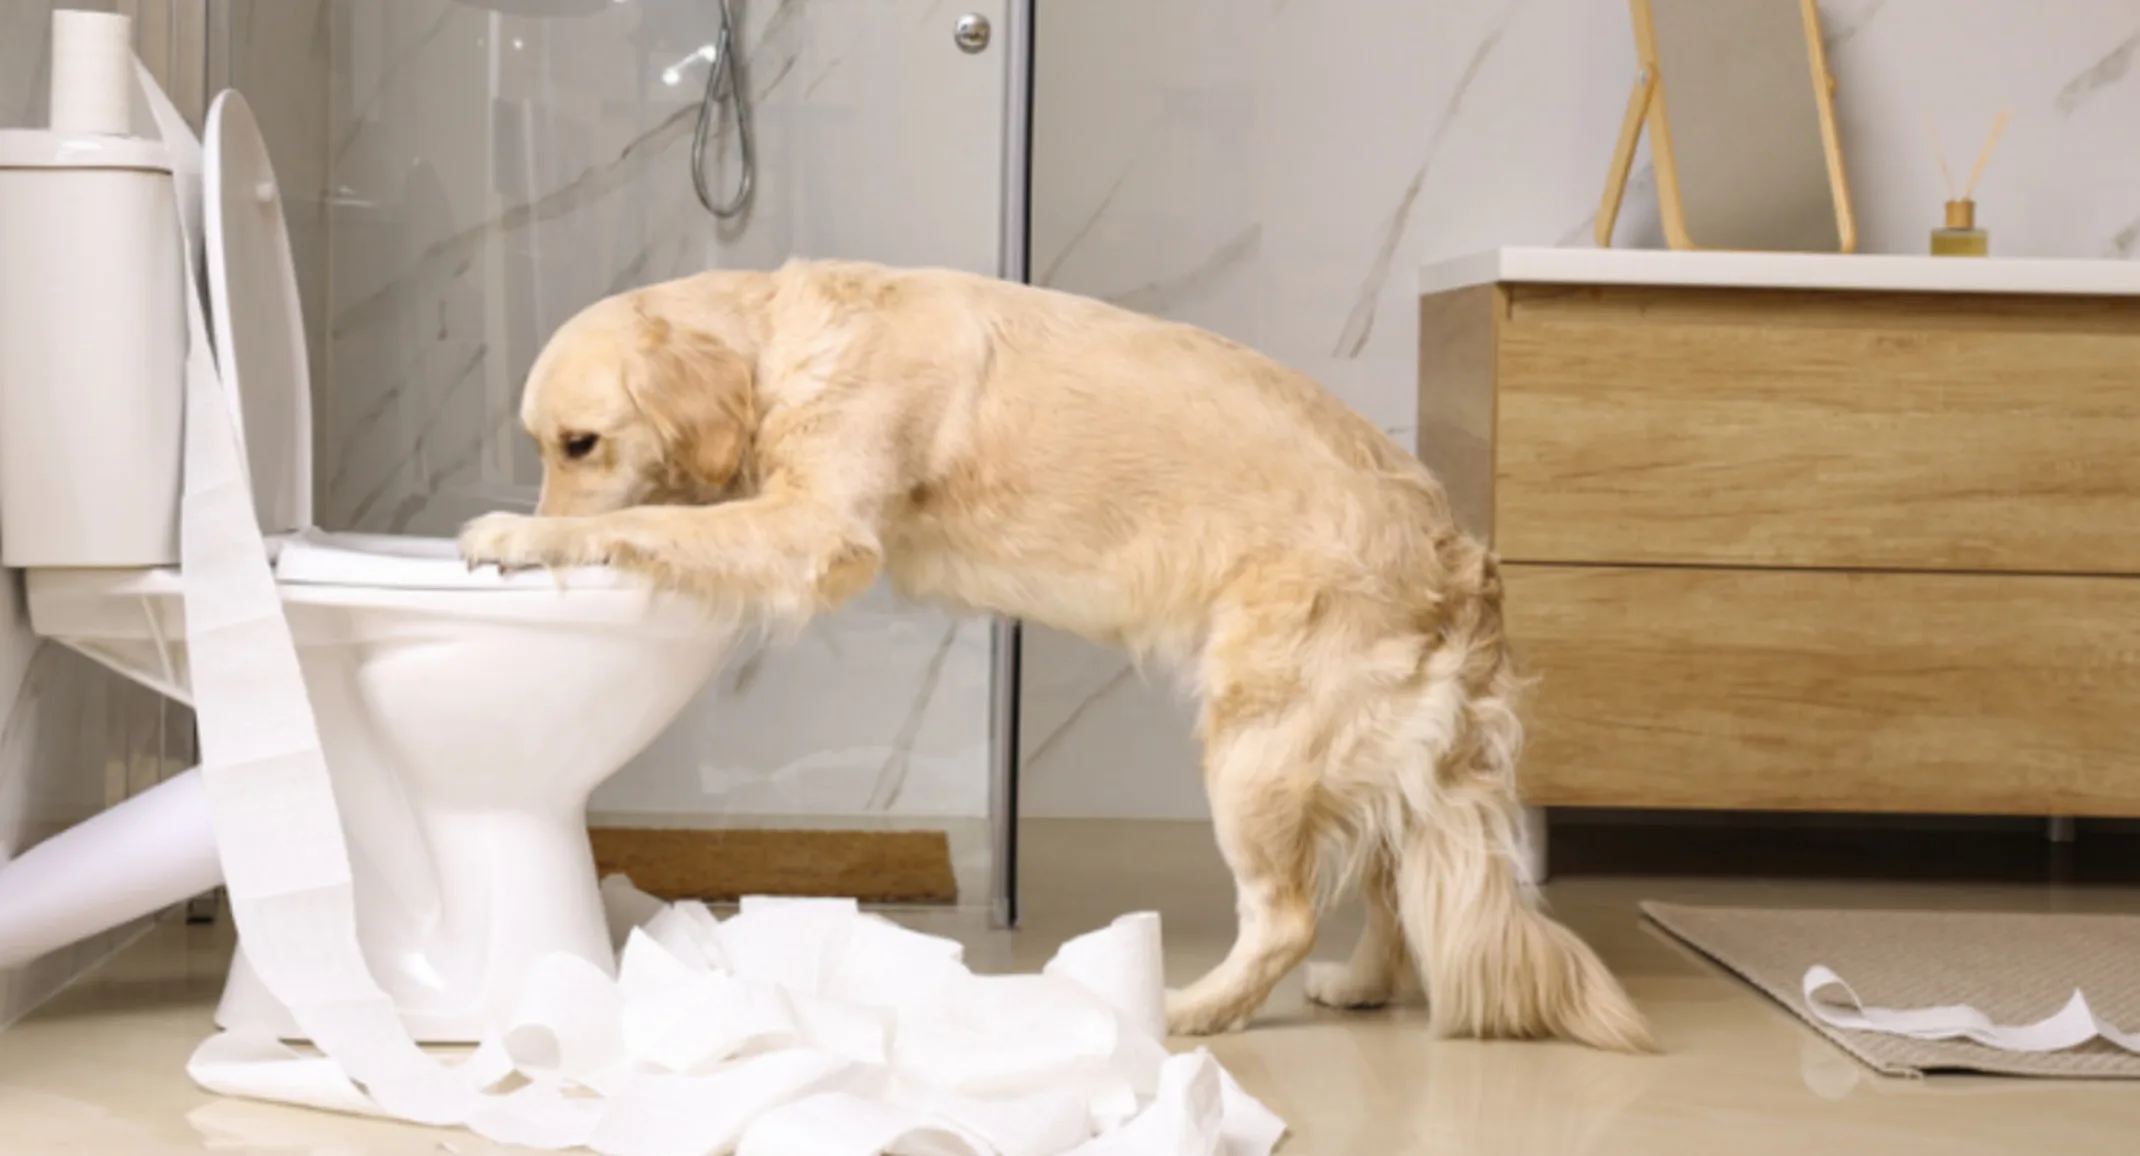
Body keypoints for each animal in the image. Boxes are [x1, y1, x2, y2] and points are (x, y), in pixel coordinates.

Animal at [455, 256, 1652, 1053]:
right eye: (546, 446)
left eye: (579, 444)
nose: (543, 502)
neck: (790, 344)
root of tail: (1461, 552)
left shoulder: (816, 529)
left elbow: (662, 523)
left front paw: (523, 535)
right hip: (1362, 757)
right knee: (1396, 885)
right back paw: (1357, 984)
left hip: (1256, 750)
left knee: (1286, 912)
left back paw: (1186, 1010)